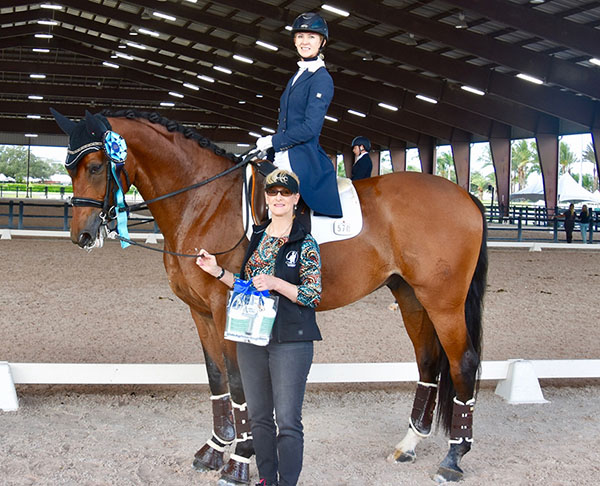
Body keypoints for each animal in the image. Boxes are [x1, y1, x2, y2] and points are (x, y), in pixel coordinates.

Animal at [52, 108, 488, 484]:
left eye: (95, 167)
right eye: (69, 168)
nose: (82, 236)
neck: (204, 203)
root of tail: (464, 195)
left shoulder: (224, 308)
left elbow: (239, 383)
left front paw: (240, 461)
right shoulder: (200, 312)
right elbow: (216, 378)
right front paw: (215, 449)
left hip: (444, 302)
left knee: (462, 363)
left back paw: (453, 458)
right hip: (410, 296)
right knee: (429, 361)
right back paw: (409, 445)